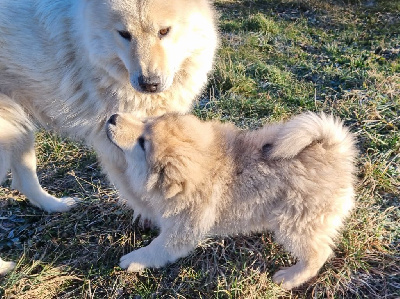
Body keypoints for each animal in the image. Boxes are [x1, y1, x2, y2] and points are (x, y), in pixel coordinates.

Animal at [0, 0, 219, 276]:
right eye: (124, 34)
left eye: (164, 31)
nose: (149, 84)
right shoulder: (117, 145)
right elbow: (144, 195)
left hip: (18, 129)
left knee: (24, 181)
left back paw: (57, 205)